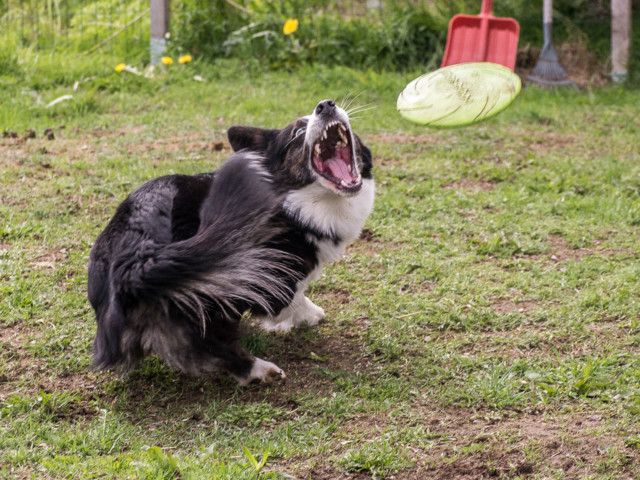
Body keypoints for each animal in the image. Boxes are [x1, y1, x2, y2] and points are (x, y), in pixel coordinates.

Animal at [87, 100, 372, 386]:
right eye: (297, 133)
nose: (325, 105)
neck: (298, 201)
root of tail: (135, 261)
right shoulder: (271, 274)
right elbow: (290, 298)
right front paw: (310, 314)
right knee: (213, 343)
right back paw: (259, 369)